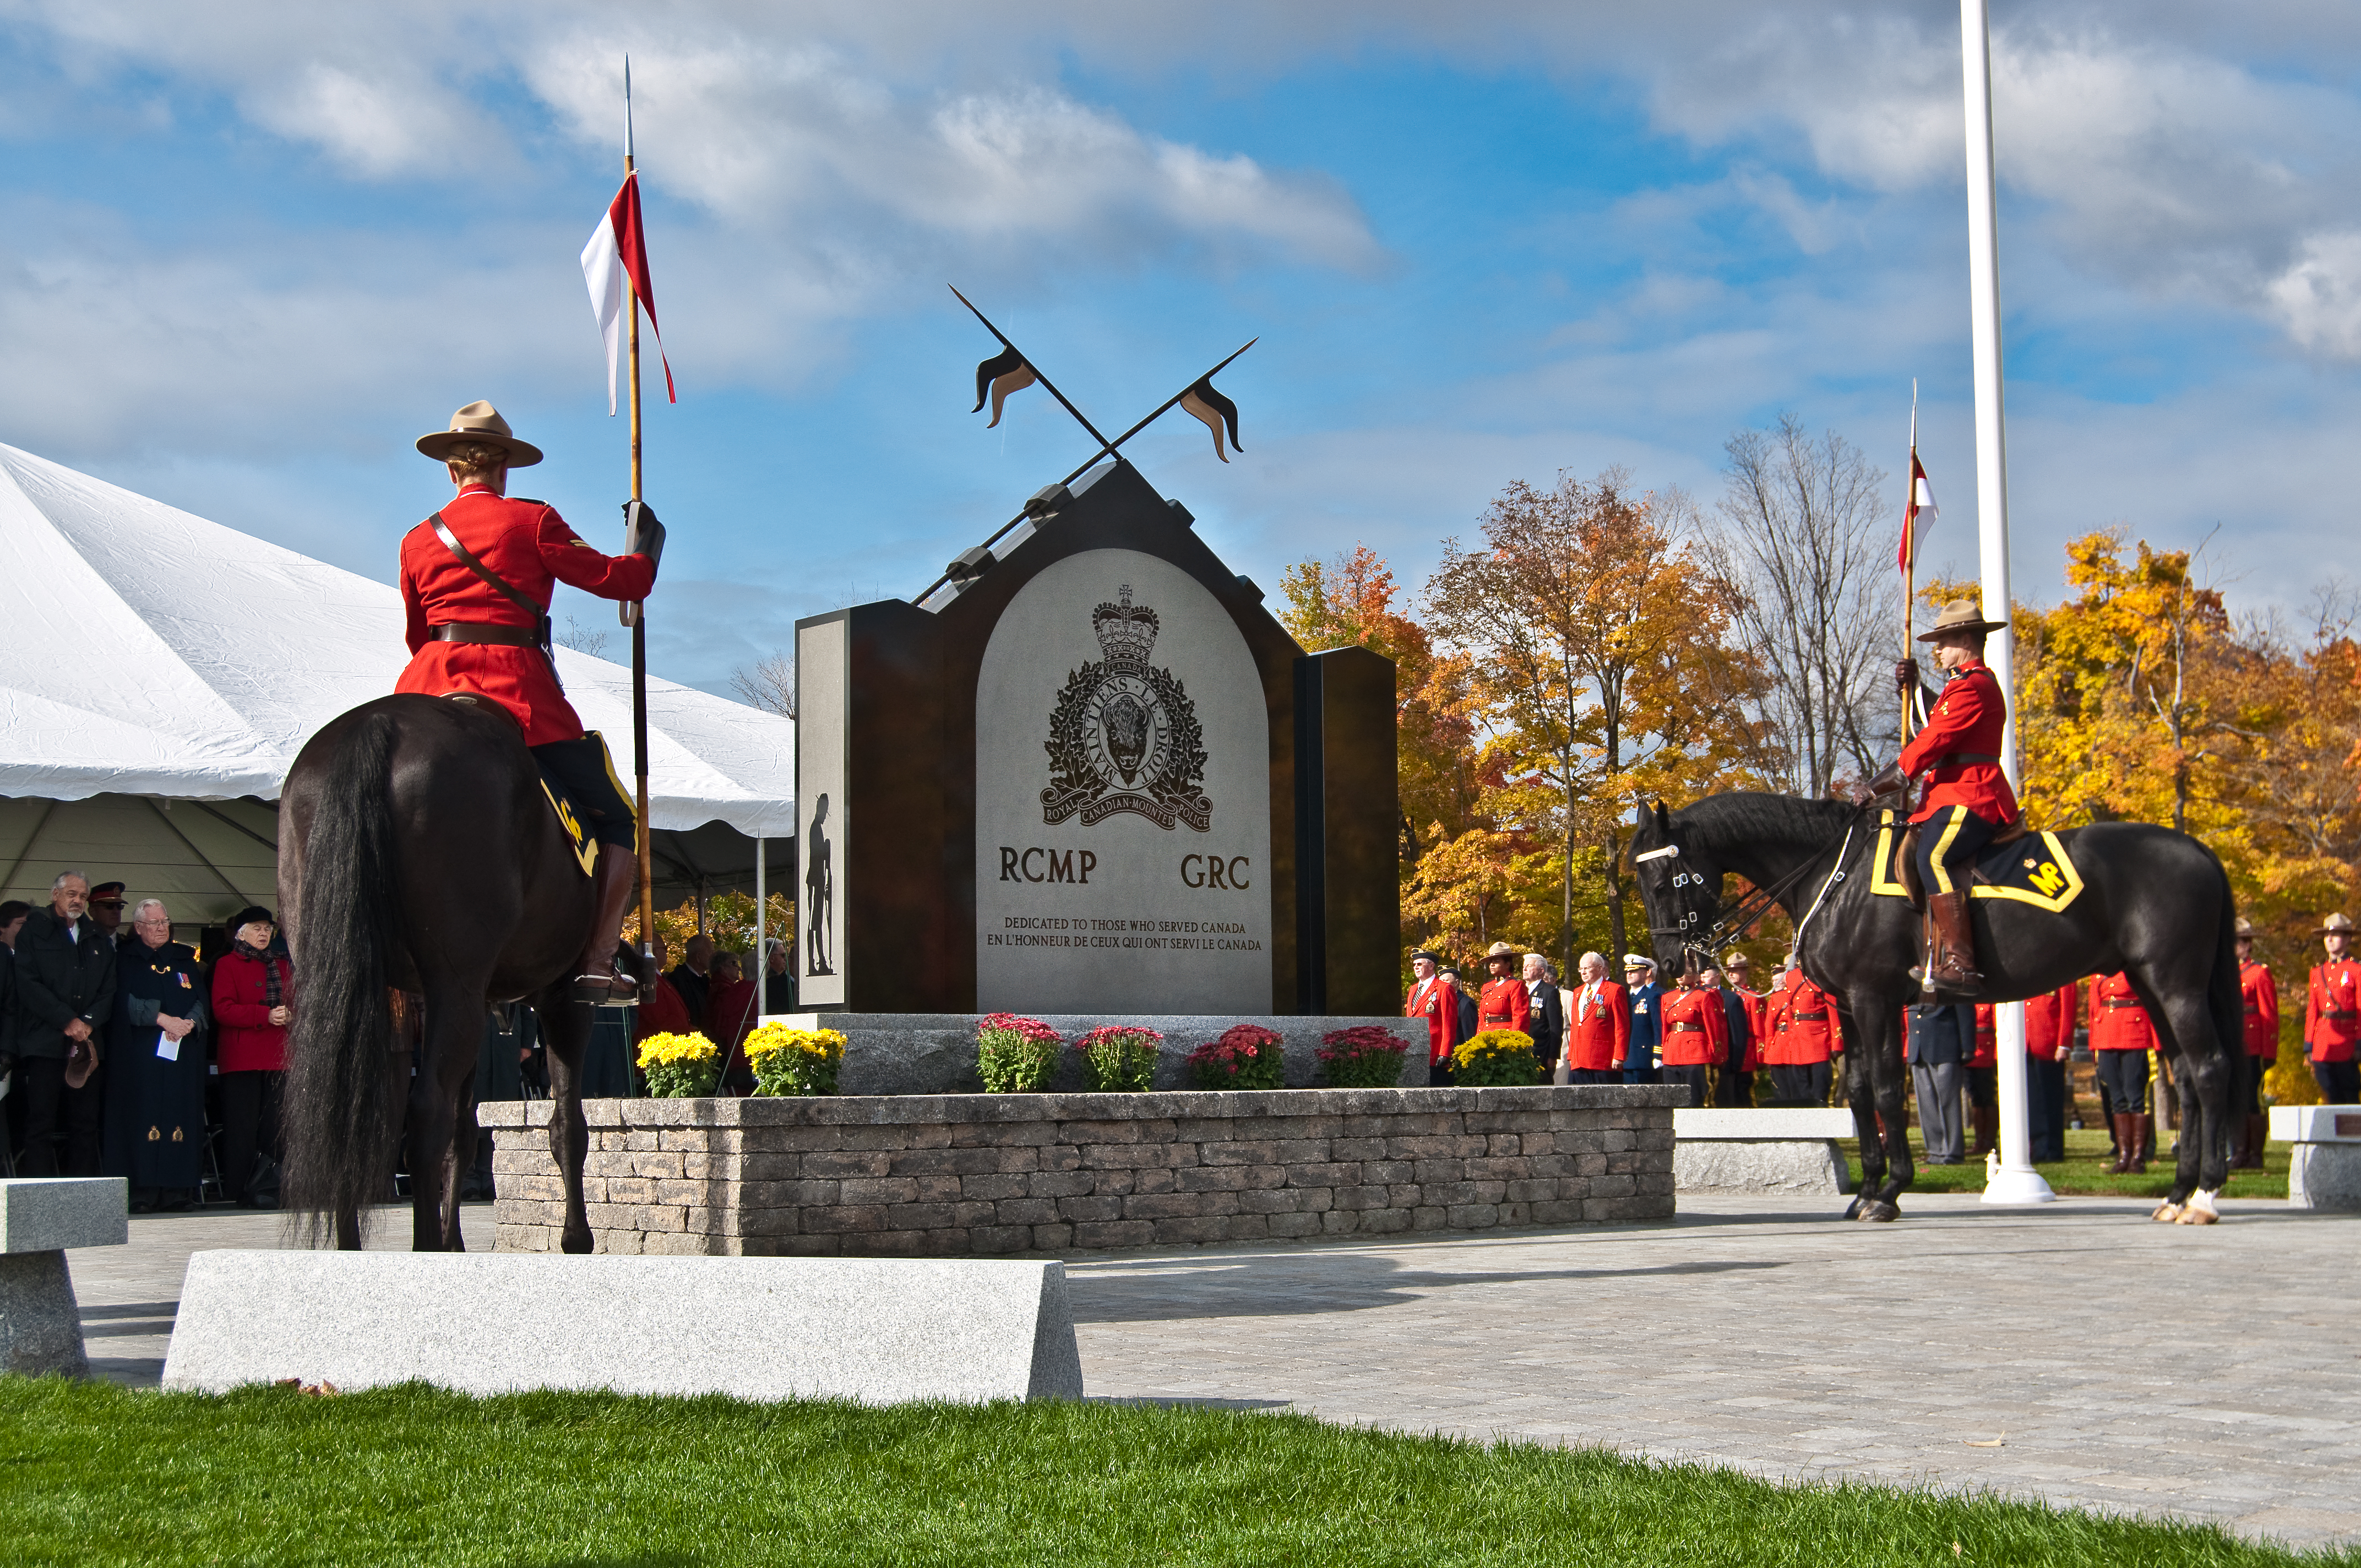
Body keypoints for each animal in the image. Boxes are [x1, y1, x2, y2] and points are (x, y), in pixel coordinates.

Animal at [277, 699, 613, 1246]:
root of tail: (379, 724)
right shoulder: (564, 999)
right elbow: (568, 1125)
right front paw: (576, 1240)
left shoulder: (476, 1005)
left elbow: (466, 1127)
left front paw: (455, 1240)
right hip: (459, 990)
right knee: (426, 1115)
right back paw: (423, 1247)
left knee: (349, 1111)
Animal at [1634, 798, 2238, 1228]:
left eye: (1664, 881)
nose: (1670, 962)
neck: (1834, 877)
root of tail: (2198, 849)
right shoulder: (1847, 1006)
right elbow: (1858, 1093)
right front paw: (1866, 1190)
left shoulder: (1875, 1000)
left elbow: (1883, 1090)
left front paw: (1889, 1192)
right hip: (2149, 983)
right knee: (2186, 1078)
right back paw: (2177, 1193)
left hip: (2176, 984)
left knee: (2210, 1070)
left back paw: (2204, 1195)